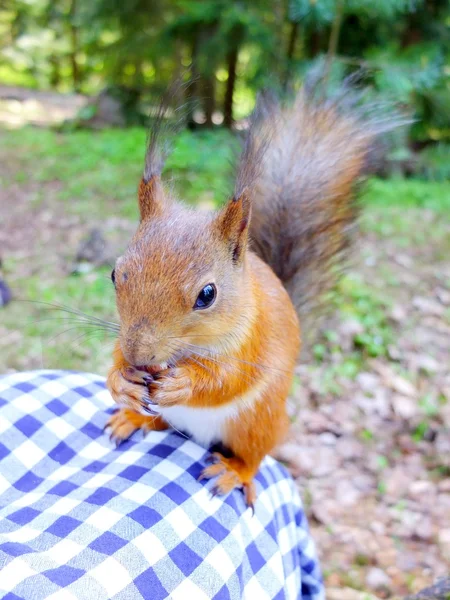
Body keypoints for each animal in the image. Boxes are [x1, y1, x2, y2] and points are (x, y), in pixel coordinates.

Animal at [103, 83, 396, 506]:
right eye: (115, 274)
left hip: (257, 423)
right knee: (159, 422)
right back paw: (132, 417)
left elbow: (228, 379)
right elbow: (115, 356)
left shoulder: (253, 340)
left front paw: (184, 383)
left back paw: (234, 472)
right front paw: (120, 380)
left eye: (207, 294)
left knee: (253, 454)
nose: (139, 356)